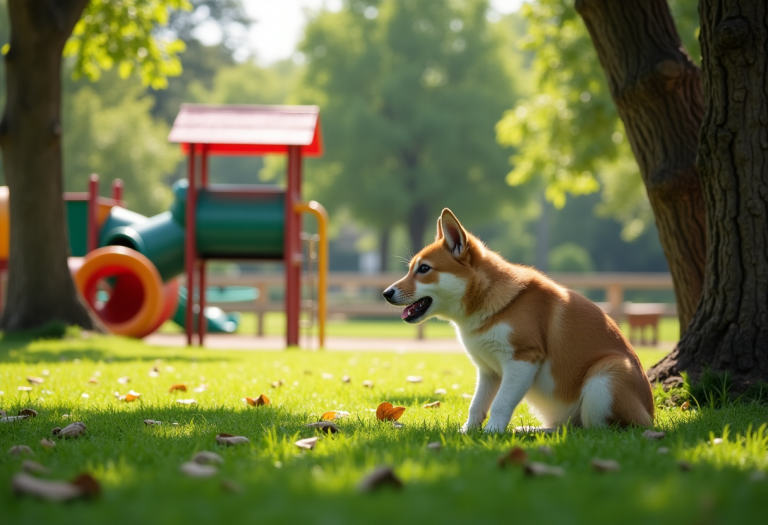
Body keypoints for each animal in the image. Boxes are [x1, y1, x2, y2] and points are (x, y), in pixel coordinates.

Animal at [384, 207, 656, 432]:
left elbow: (501, 404)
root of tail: (650, 417)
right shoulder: (488, 371)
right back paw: (531, 430)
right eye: (411, 268)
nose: (386, 293)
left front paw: (492, 433)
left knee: (596, 430)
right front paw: (467, 433)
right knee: (569, 427)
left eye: (424, 269)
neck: (489, 303)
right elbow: (476, 405)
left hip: (605, 376)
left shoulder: (522, 360)